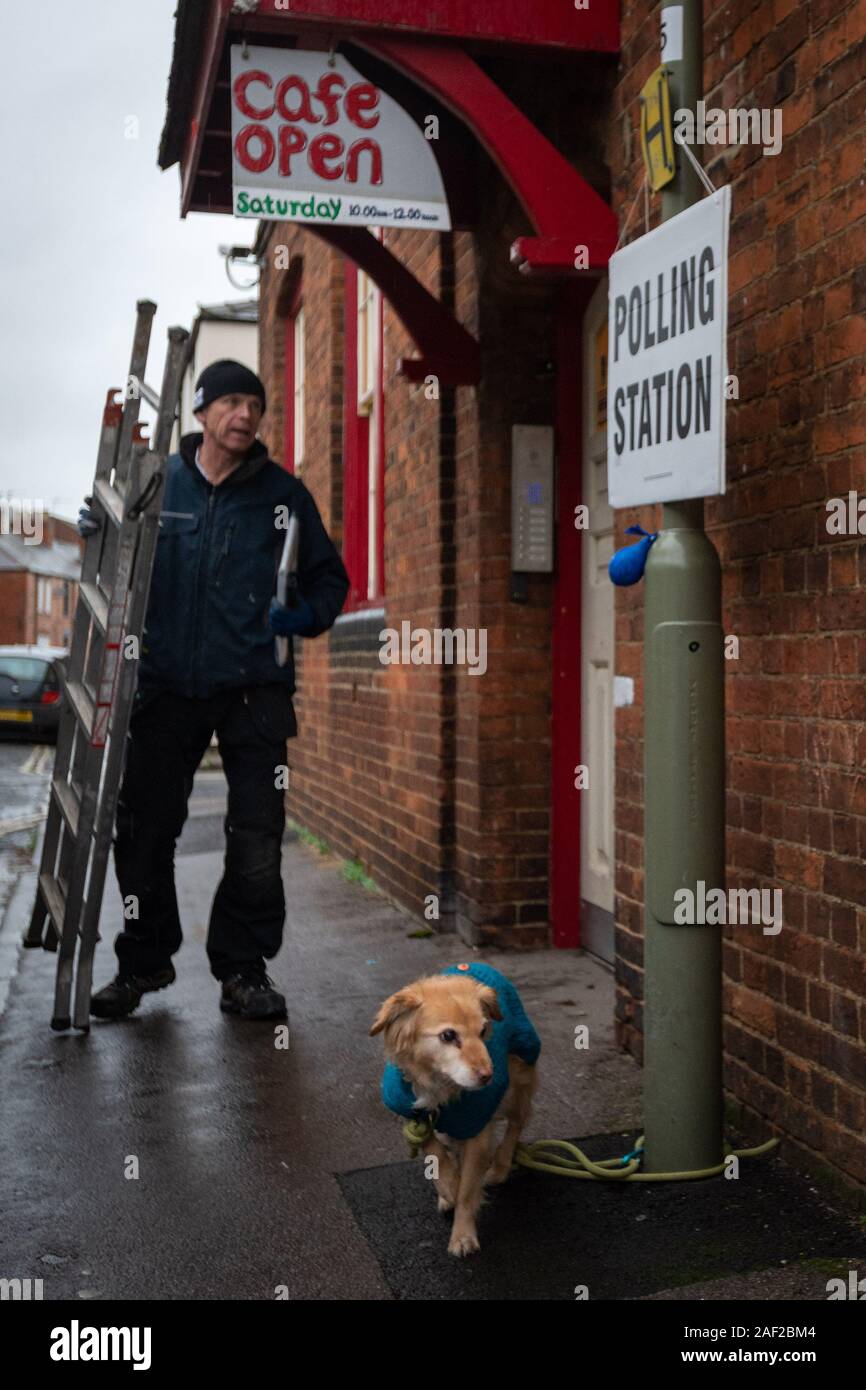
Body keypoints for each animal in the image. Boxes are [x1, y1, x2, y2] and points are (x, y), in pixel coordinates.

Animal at [369, 961, 539, 1256]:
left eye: (483, 1032)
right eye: (448, 1035)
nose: (488, 1076)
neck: (438, 1082)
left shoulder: (478, 1127)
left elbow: (468, 1189)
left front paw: (462, 1234)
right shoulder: (413, 1114)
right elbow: (435, 1152)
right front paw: (448, 1186)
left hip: (518, 1078)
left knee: (517, 1123)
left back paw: (500, 1166)